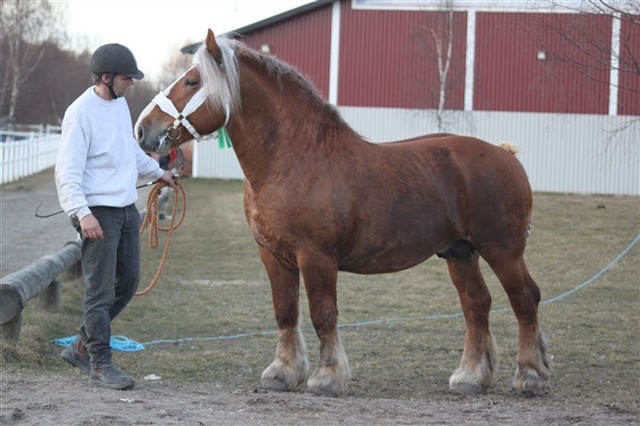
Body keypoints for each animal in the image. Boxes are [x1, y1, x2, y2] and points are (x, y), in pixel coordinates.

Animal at [135, 30, 552, 400]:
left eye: (192, 81)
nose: (143, 129)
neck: (295, 159)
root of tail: (506, 155)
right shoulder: (272, 255)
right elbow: (285, 312)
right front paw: (282, 374)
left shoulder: (316, 256)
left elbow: (323, 314)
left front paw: (327, 378)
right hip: (460, 252)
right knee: (476, 305)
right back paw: (470, 378)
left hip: (502, 250)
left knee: (524, 300)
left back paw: (530, 377)